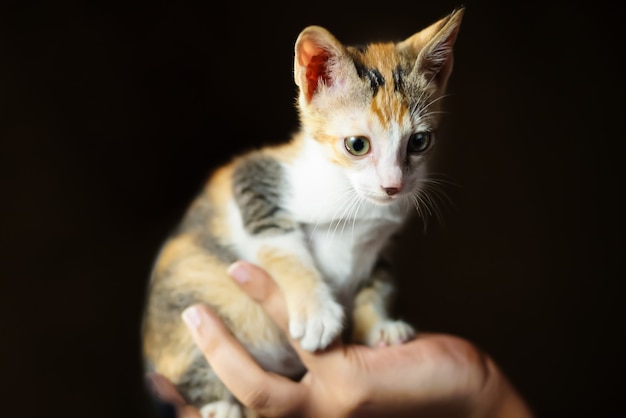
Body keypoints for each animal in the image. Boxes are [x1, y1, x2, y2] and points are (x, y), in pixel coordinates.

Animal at [143, 7, 464, 418]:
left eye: (419, 141)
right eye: (357, 145)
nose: (393, 186)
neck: (352, 196)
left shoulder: (380, 242)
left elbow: (378, 281)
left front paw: (380, 327)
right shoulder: (251, 174)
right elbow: (281, 245)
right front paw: (317, 312)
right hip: (186, 297)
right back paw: (219, 404)